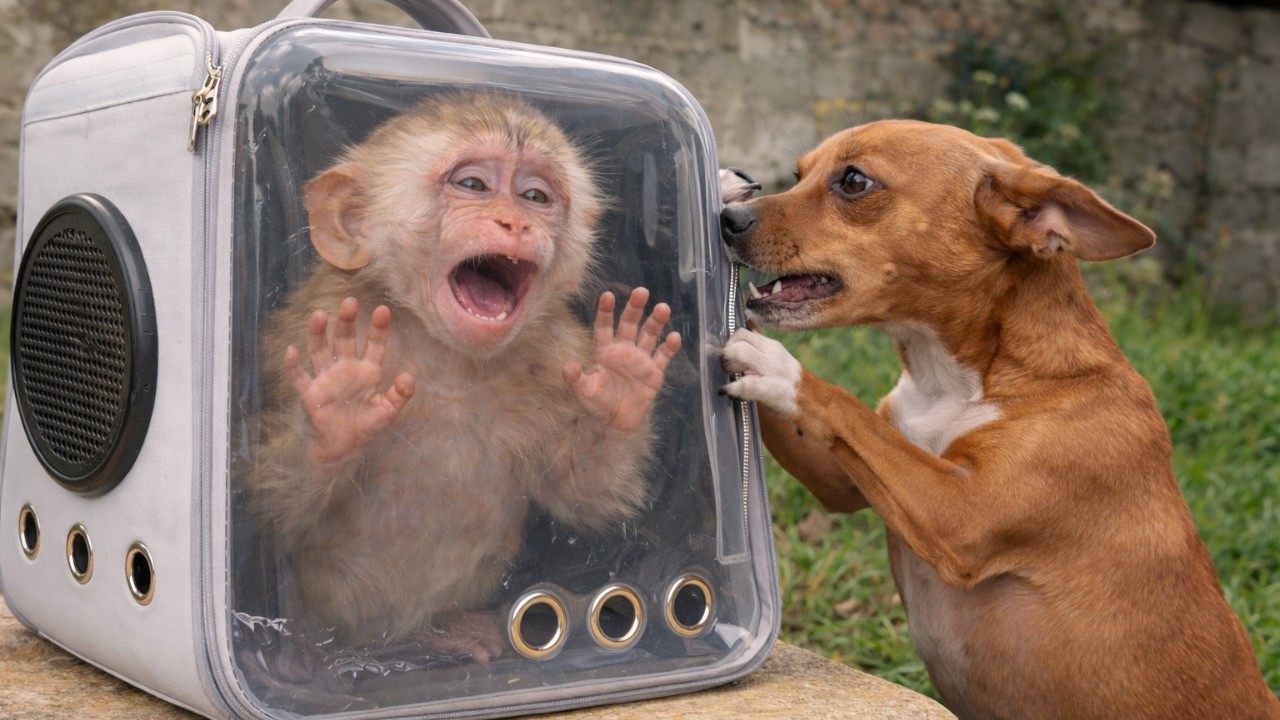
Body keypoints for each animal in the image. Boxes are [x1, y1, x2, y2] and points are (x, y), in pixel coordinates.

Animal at [246, 93, 683, 662]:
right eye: (473, 185)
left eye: (535, 196)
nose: (515, 224)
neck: (448, 359)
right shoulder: (307, 331)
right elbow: (275, 516)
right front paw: (336, 409)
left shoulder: (560, 352)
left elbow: (585, 491)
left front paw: (621, 385)